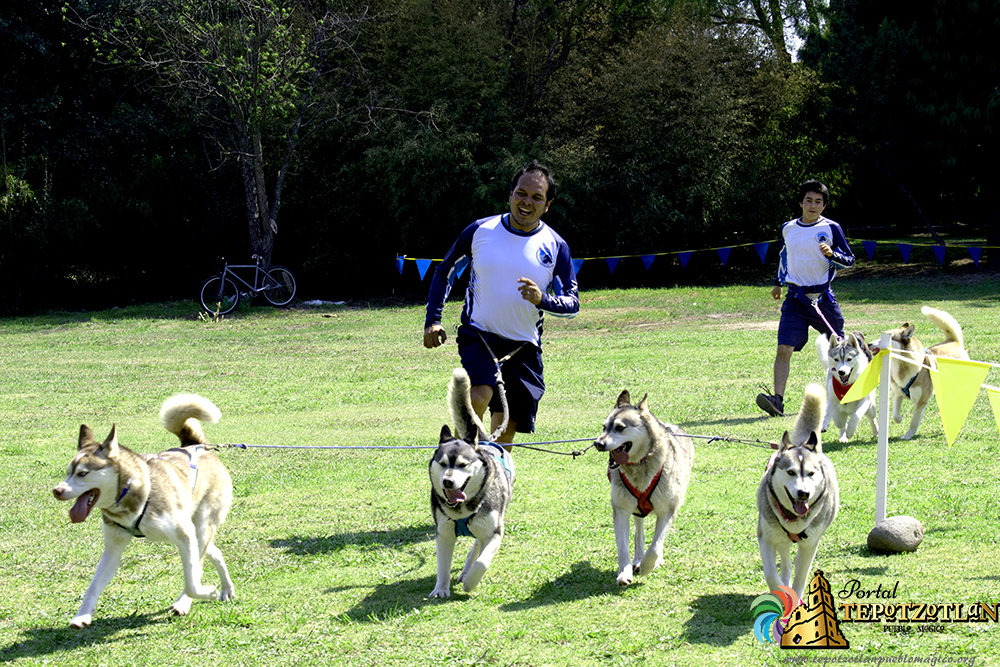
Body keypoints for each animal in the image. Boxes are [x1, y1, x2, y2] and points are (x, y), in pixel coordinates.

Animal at [53, 394, 236, 628]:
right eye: (68, 472)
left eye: (83, 473)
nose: (57, 491)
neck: (130, 492)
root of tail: (195, 445)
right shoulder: (113, 547)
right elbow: (94, 585)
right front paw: (82, 616)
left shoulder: (184, 534)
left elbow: (192, 580)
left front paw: (203, 594)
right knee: (215, 553)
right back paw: (226, 589)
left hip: (201, 525)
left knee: (199, 564)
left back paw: (187, 601)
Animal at [426, 370, 512, 600]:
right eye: (442, 463)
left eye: (463, 465)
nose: (447, 481)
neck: (462, 509)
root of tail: (484, 442)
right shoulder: (444, 533)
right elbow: (443, 566)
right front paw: (441, 589)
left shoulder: (494, 532)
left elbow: (482, 561)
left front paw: (470, 582)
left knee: (477, 546)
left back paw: (467, 573)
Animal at [592, 392, 696, 584]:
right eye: (604, 427)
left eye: (620, 427)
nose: (598, 443)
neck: (640, 464)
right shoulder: (621, 510)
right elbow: (623, 549)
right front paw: (625, 573)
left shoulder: (668, 510)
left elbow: (655, 546)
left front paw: (648, 566)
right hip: (636, 508)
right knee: (639, 532)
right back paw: (638, 558)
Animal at [756, 384, 836, 596]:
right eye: (791, 472)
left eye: (811, 473)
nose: (803, 493)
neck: (794, 518)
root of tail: (801, 444)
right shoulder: (766, 537)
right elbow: (771, 574)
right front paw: (781, 591)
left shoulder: (810, 543)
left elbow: (801, 577)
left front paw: (796, 598)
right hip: (780, 538)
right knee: (785, 561)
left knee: (798, 561)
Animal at [892, 306, 968, 440]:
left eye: (890, 337)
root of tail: (953, 341)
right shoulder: (897, 393)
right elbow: (895, 415)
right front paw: (899, 418)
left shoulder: (920, 401)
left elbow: (914, 422)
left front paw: (907, 435)